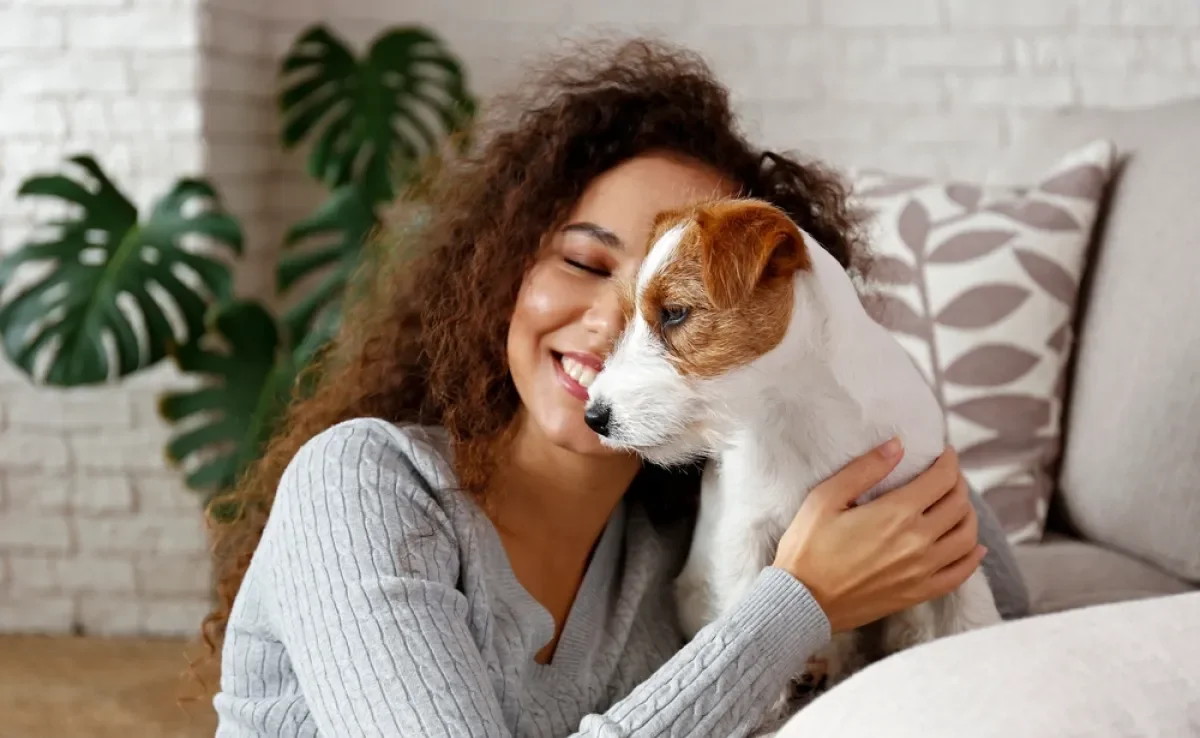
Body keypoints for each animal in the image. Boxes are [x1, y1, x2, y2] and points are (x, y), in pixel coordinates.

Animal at [580, 198, 1003, 734]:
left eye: (674, 313)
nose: (594, 416)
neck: (799, 408)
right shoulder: (746, 533)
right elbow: (748, 613)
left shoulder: (941, 514)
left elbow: (969, 610)